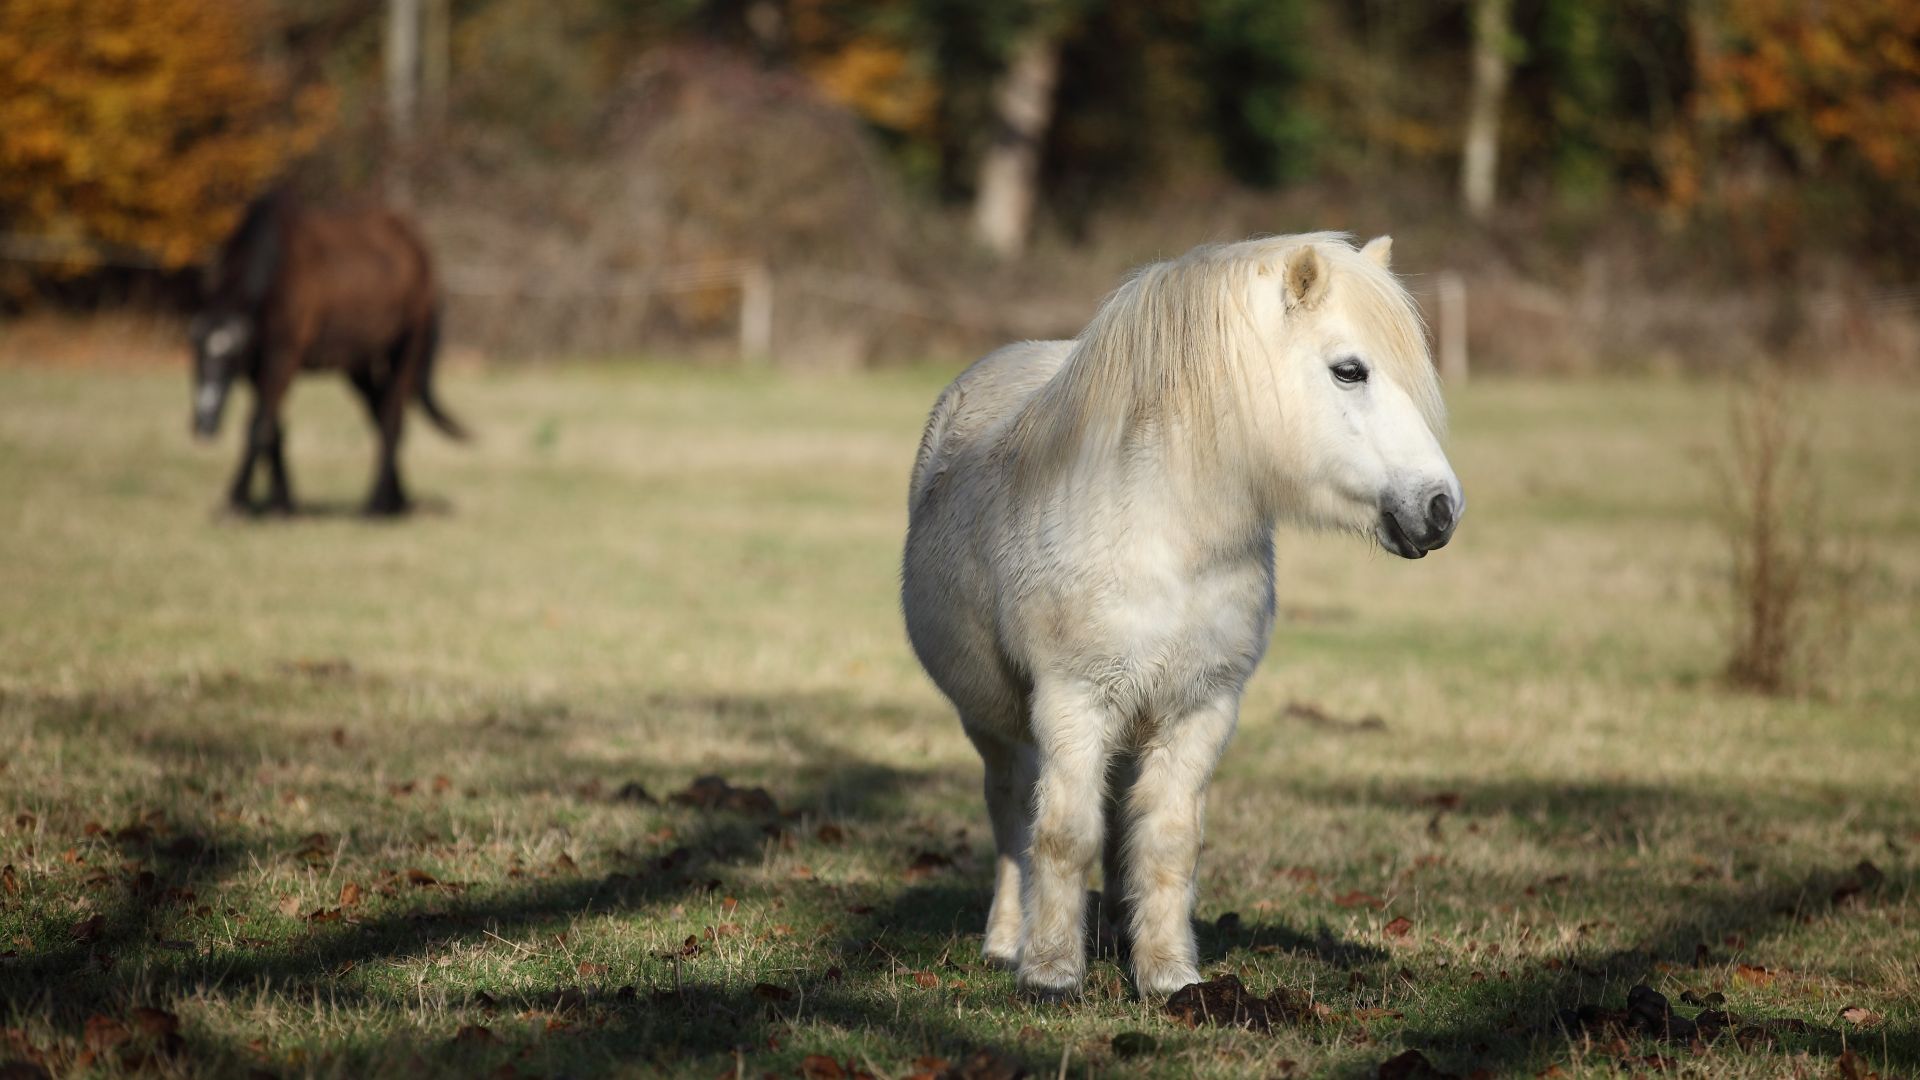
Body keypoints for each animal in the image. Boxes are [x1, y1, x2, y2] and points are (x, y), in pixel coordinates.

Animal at [188, 189, 466, 516]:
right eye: (195, 359)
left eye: (229, 359)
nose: (204, 426)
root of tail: (419, 249)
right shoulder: (257, 367)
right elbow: (274, 429)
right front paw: (282, 504)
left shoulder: (283, 357)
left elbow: (259, 426)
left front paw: (237, 501)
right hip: (357, 363)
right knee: (381, 413)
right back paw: (394, 501)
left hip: (407, 348)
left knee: (392, 418)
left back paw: (376, 506)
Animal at [901, 233, 1462, 1000]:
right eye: (1350, 370)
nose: (1441, 508)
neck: (1165, 536)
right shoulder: (1073, 704)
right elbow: (1062, 835)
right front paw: (1051, 973)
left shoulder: (1200, 709)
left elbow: (1167, 841)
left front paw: (1168, 975)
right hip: (999, 727)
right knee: (1014, 818)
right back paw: (1007, 941)